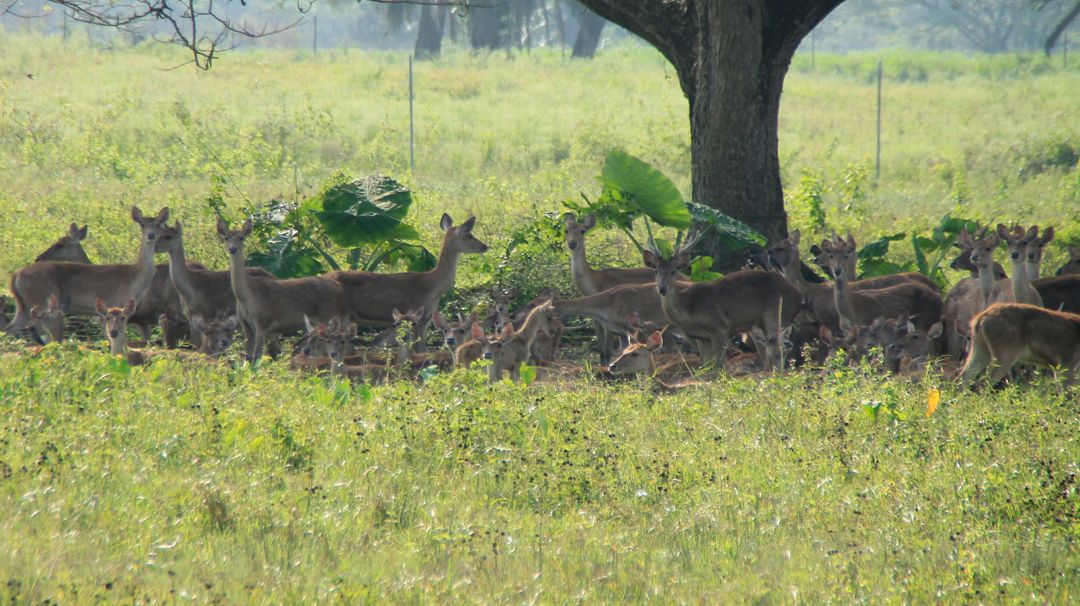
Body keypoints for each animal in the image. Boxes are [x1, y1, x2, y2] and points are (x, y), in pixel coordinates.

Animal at [219, 217, 349, 358]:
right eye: (226, 237)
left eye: (241, 237)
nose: (232, 249)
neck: (246, 296)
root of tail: (340, 288)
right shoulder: (246, 326)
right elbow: (247, 358)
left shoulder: (263, 323)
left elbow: (256, 357)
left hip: (328, 315)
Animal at [324, 214, 486, 352]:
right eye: (469, 235)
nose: (485, 246)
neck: (433, 286)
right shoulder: (417, 315)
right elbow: (419, 351)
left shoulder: (426, 320)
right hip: (337, 314)